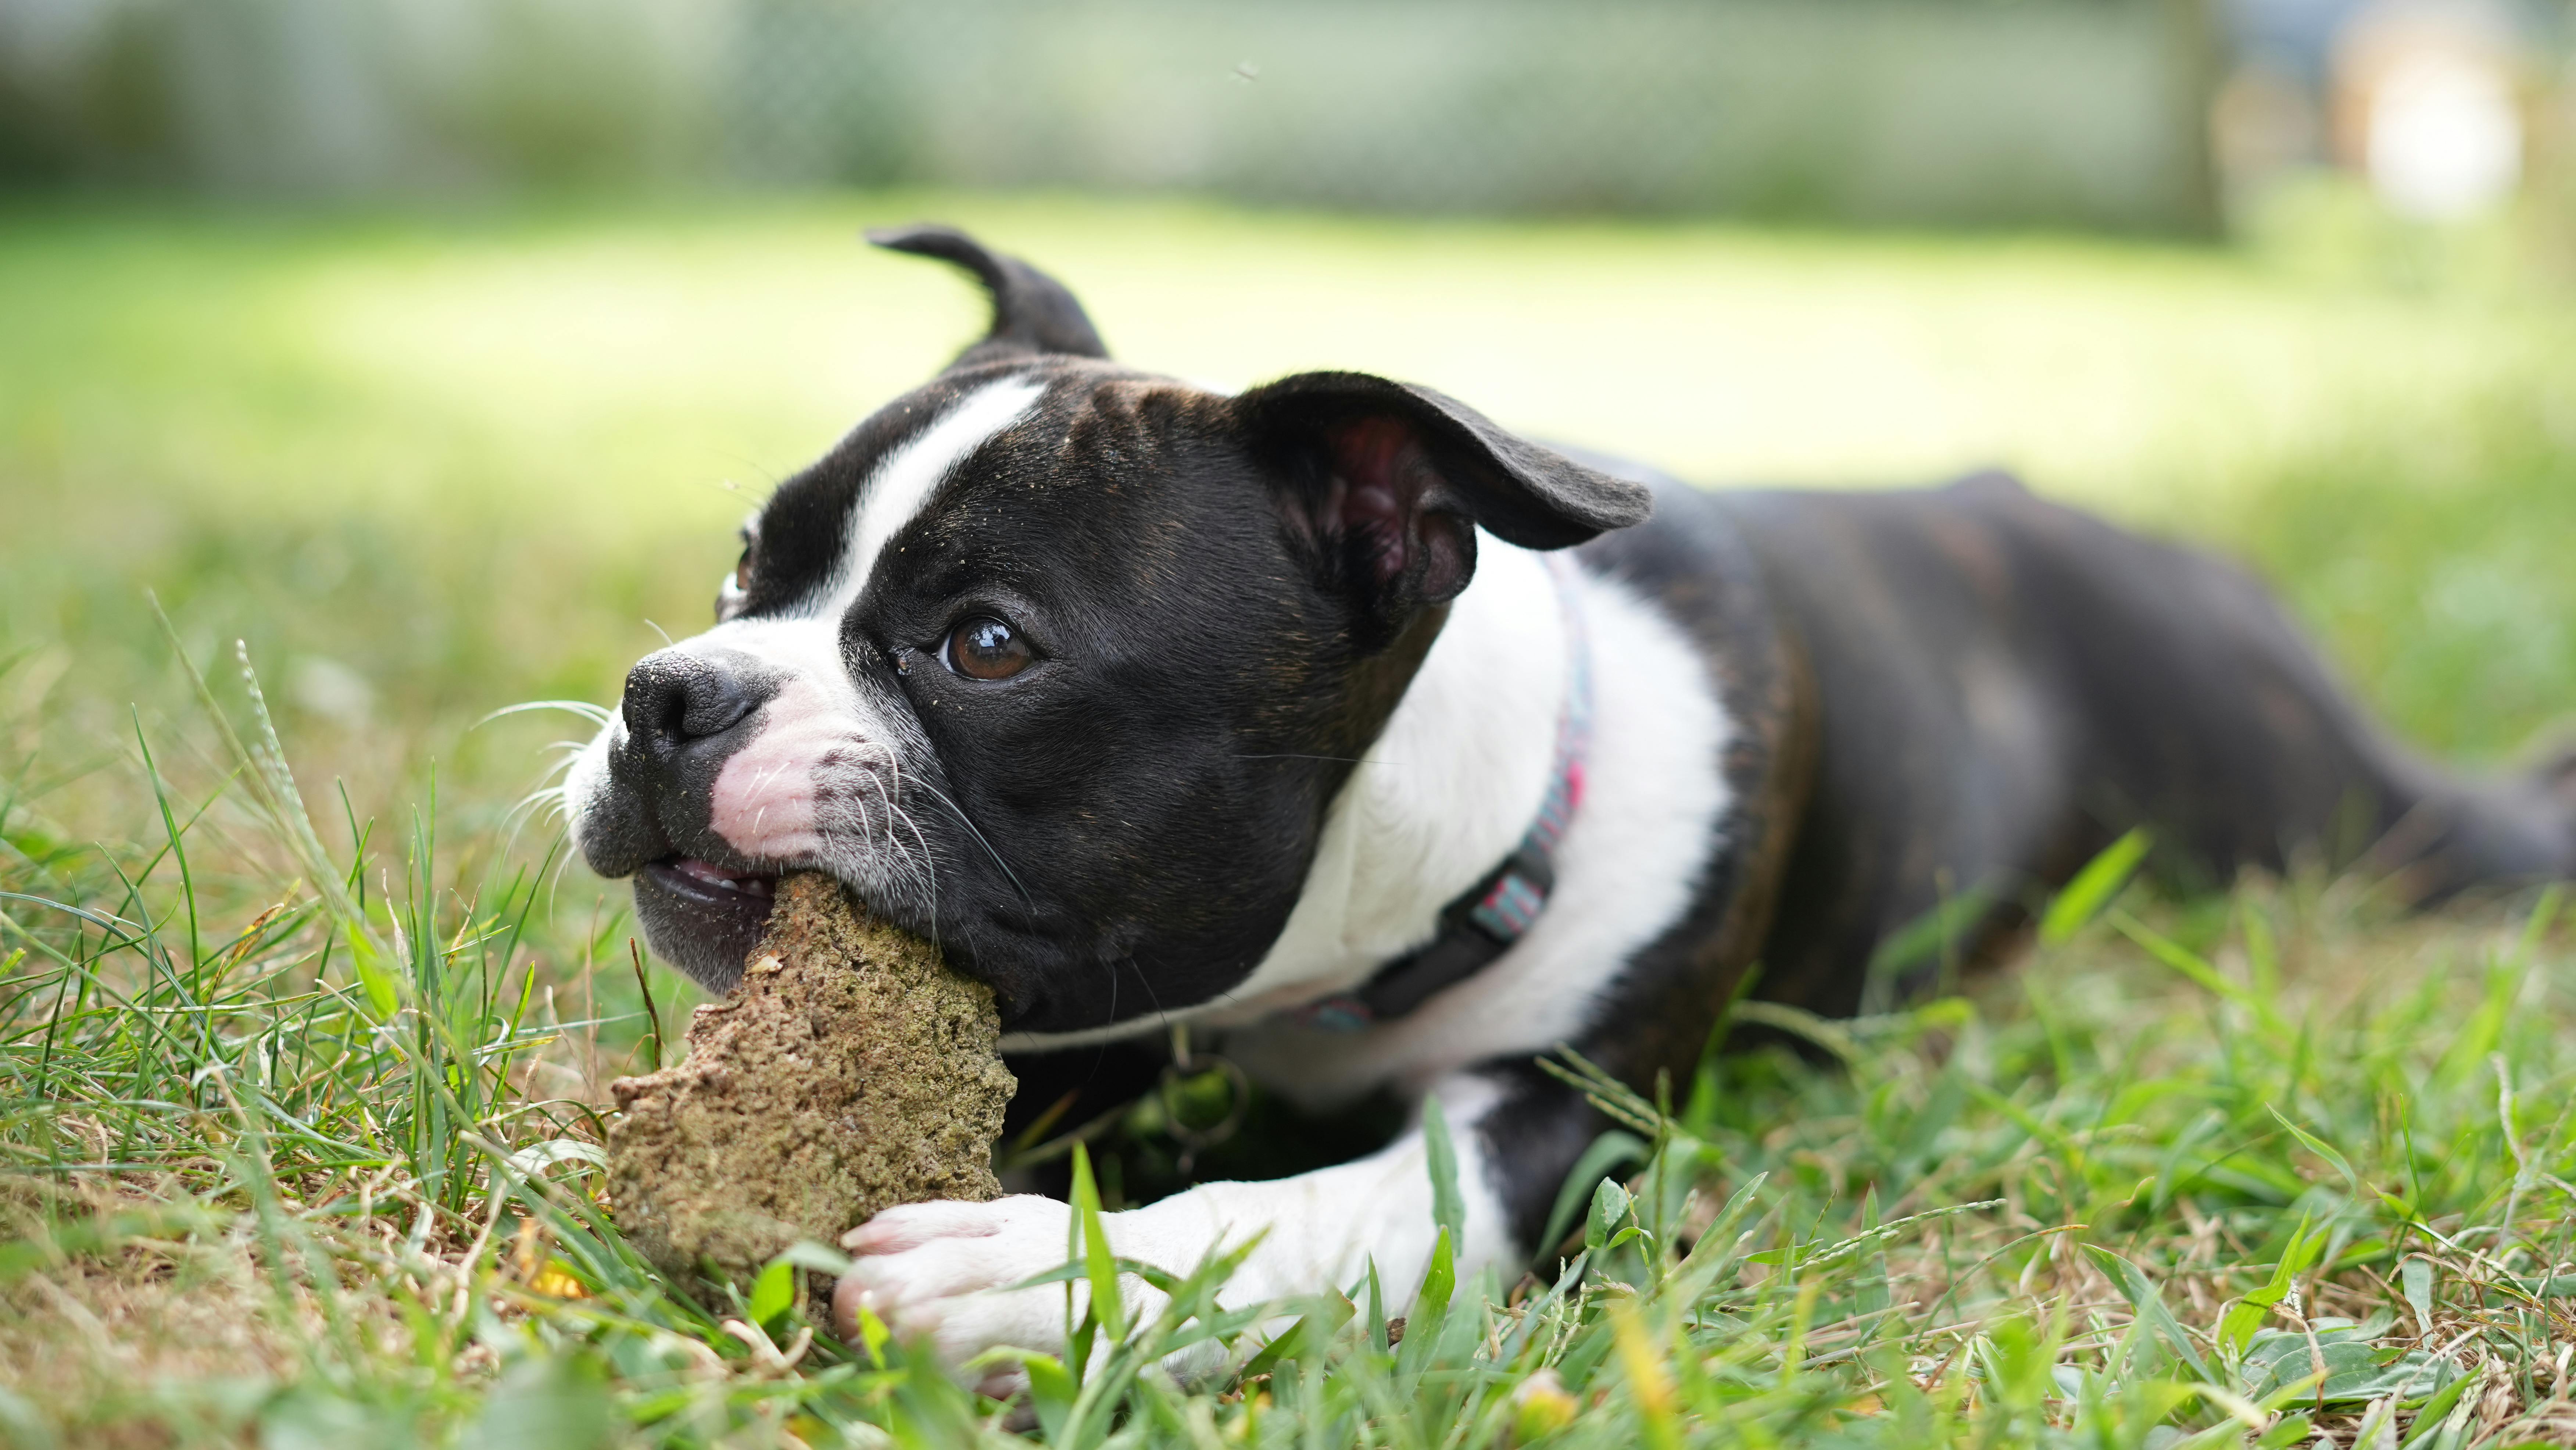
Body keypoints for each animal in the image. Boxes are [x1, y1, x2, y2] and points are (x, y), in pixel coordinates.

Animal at [564, 221, 2576, 1380]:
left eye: (988, 644)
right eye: (747, 560)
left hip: (2354, 811)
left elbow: (1338, 1210)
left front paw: (1030, 1276)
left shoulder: (1565, 1131)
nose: (671, 697)